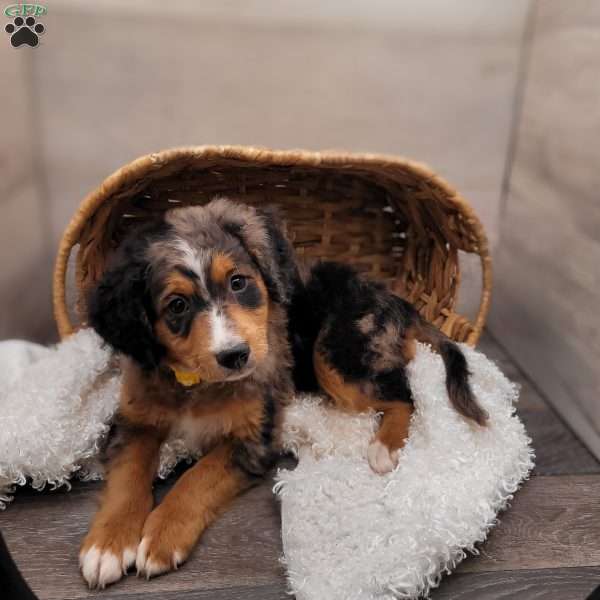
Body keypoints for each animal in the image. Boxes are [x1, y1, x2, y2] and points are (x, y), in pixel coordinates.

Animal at [81, 199, 300, 588]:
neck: (195, 383)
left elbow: (198, 477)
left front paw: (161, 537)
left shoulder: (253, 436)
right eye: (178, 305)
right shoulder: (135, 418)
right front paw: (107, 544)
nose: (235, 355)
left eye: (238, 282)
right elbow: (127, 475)